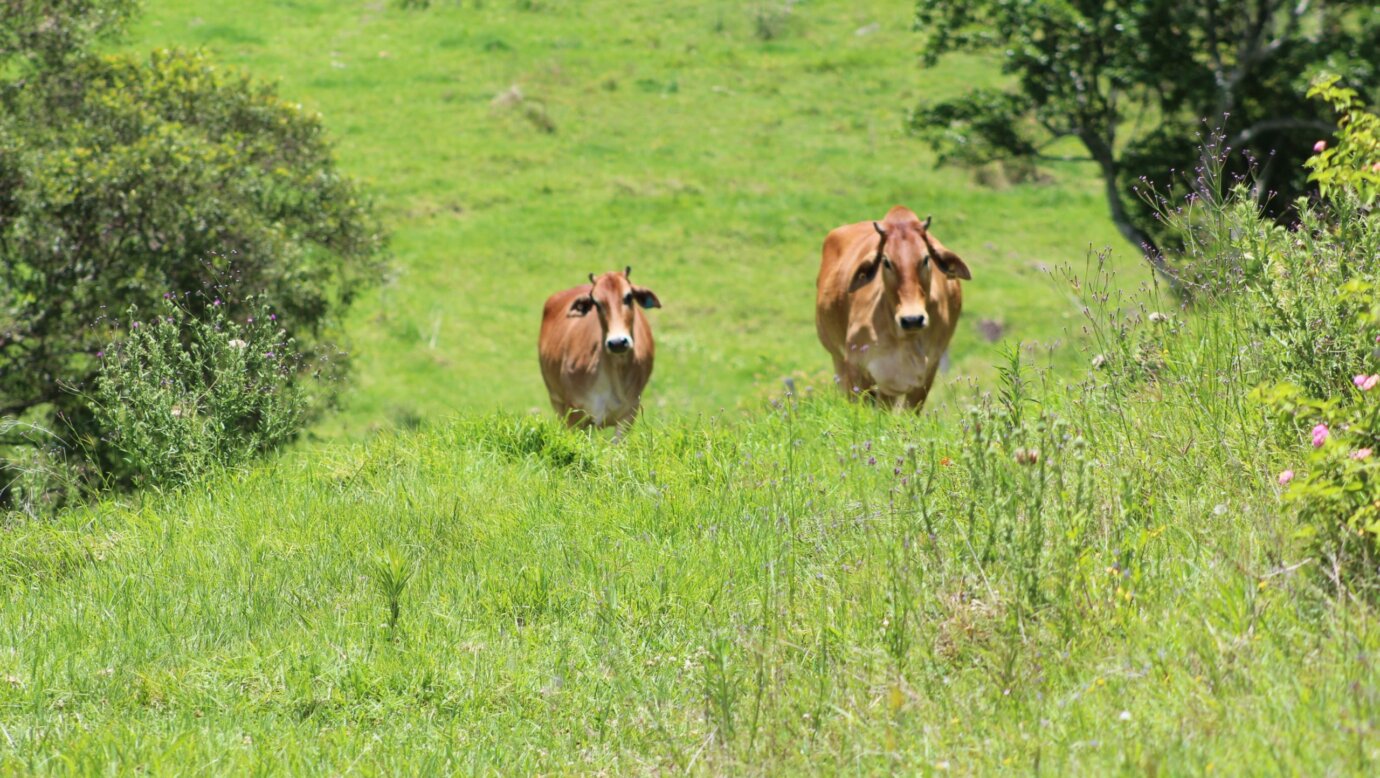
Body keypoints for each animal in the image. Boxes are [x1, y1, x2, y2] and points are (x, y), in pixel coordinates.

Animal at [535, 266, 659, 424]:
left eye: (628, 297)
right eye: (597, 303)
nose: (617, 342)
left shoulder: (629, 412)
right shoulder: (575, 412)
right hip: (556, 400)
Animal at [816, 206, 971, 413]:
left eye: (926, 258)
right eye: (886, 261)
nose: (912, 319)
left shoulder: (926, 373)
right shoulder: (855, 368)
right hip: (838, 360)